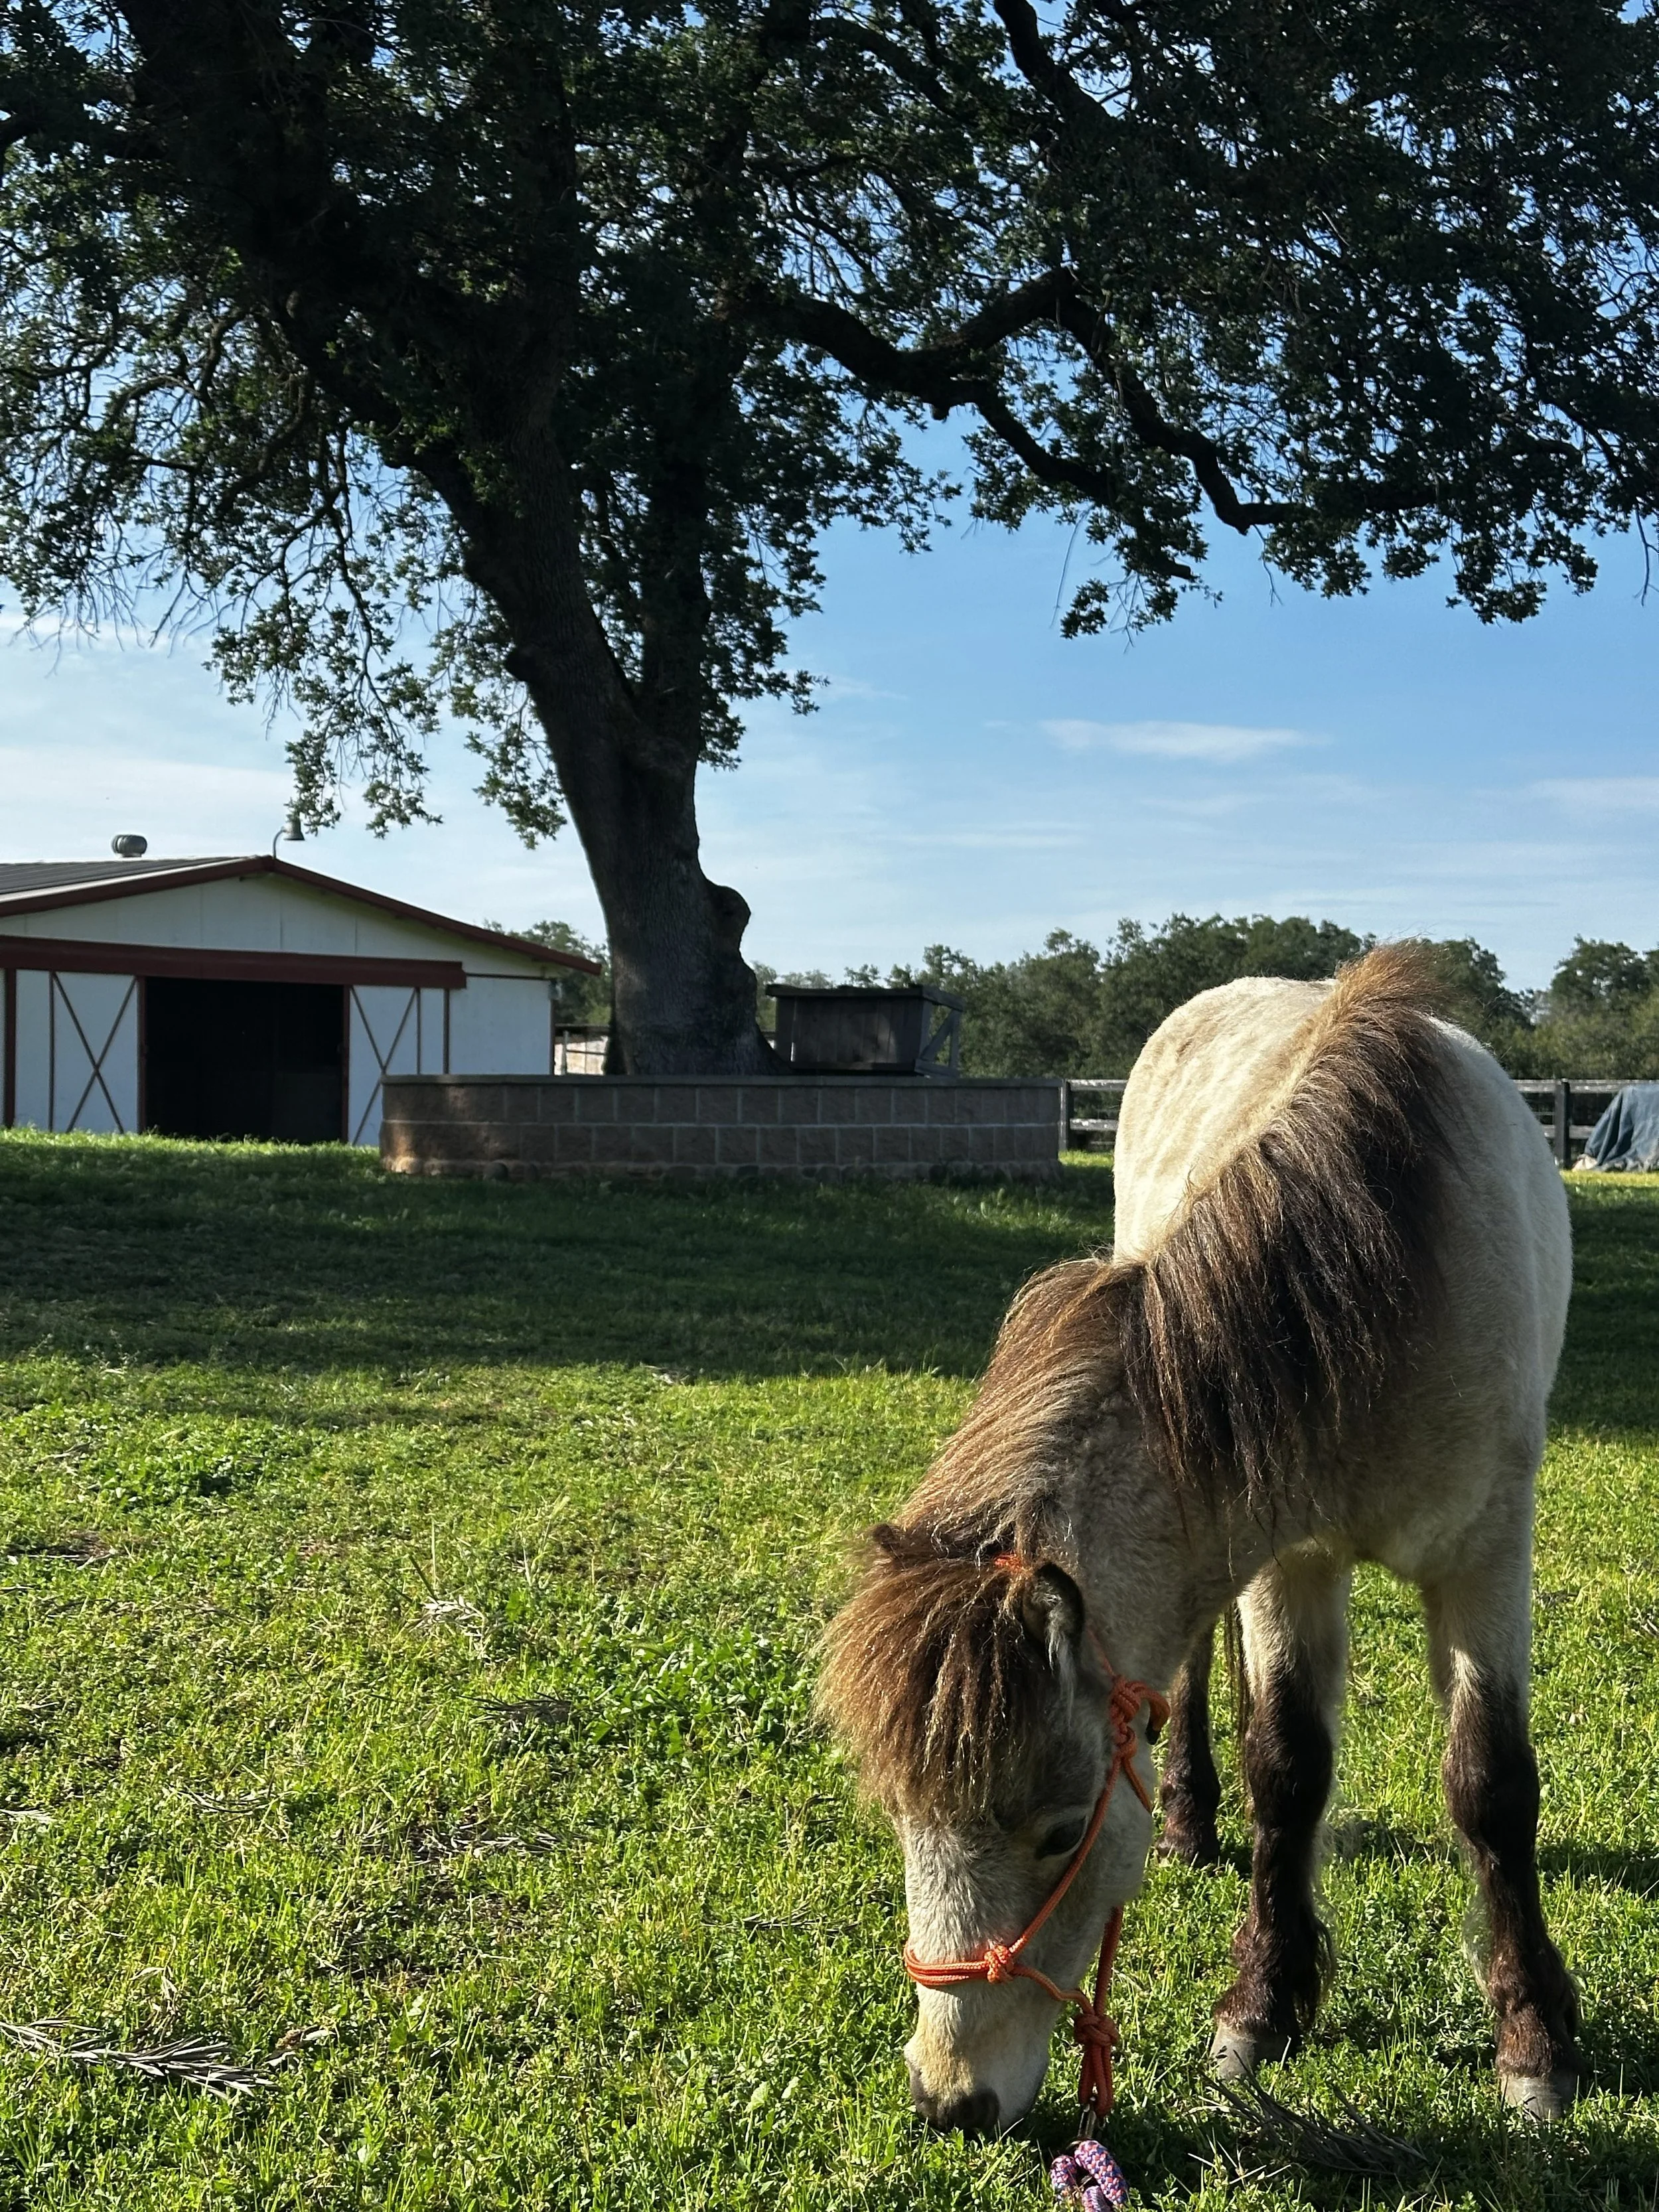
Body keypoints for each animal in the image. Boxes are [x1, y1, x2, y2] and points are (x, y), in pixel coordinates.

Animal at [820, 944, 1579, 2134]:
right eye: (902, 1817)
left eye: (1060, 1827)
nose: (949, 2098)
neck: (1380, 1266)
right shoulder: (1289, 1557)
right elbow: (1288, 1766)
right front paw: (1262, 2008)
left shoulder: (1488, 1553)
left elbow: (1491, 1783)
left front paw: (1537, 2043)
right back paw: (1187, 1815)